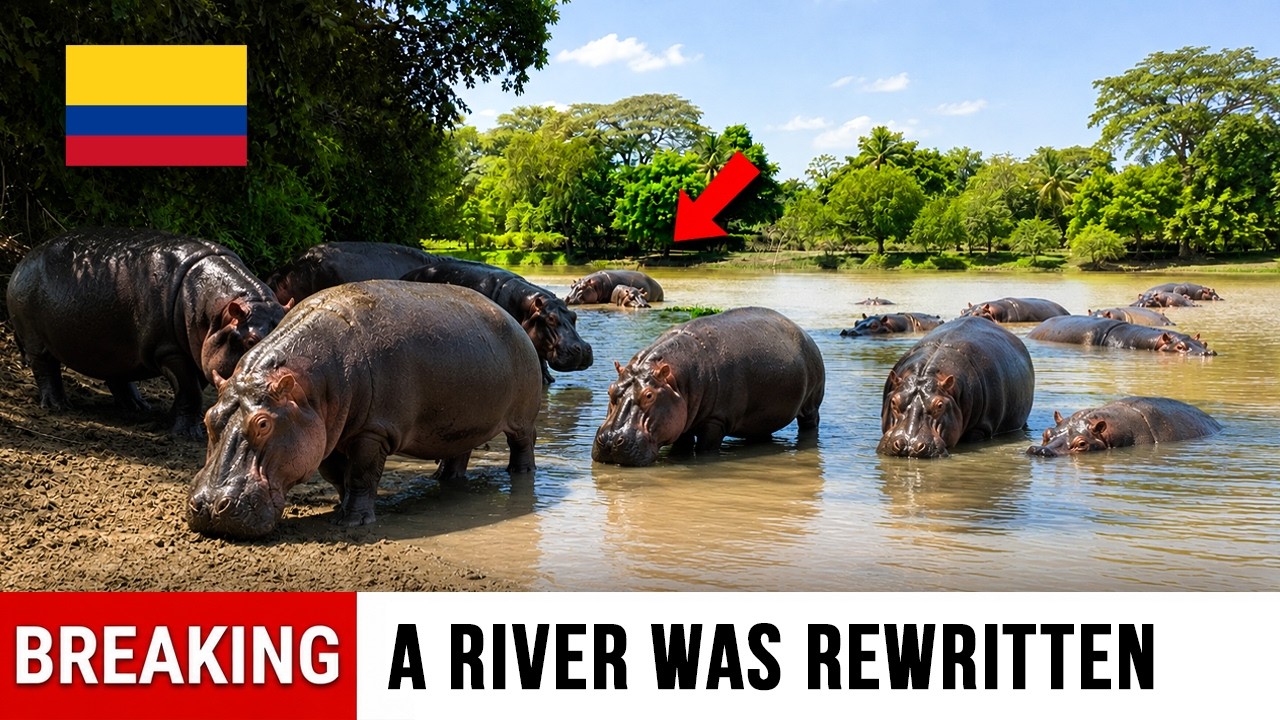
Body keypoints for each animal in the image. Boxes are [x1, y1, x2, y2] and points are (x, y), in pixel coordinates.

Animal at [5, 227, 285, 436]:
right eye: (250, 340)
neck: (219, 315)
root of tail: (22, 261)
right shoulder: (171, 351)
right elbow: (191, 390)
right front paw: (187, 434)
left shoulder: (200, 353)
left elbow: (190, 389)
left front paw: (172, 419)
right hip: (35, 339)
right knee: (45, 369)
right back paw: (58, 406)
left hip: (113, 346)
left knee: (117, 376)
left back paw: (139, 407)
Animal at [187, 281, 541, 538]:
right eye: (208, 418)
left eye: (263, 424)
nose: (208, 506)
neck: (306, 387)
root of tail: (512, 319)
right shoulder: (326, 433)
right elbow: (337, 475)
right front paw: (339, 509)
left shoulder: (372, 431)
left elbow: (360, 474)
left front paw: (352, 522)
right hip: (459, 423)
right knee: (458, 452)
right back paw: (444, 478)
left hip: (522, 418)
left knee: (523, 444)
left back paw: (520, 473)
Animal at [592, 307, 824, 466]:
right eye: (610, 389)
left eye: (649, 395)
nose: (610, 440)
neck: (675, 380)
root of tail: (803, 332)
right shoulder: (681, 420)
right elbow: (681, 447)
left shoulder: (715, 421)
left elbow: (704, 449)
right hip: (762, 418)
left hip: (811, 406)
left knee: (810, 424)